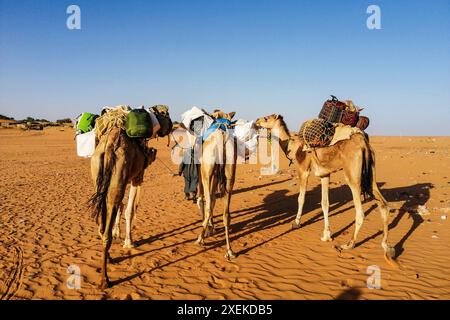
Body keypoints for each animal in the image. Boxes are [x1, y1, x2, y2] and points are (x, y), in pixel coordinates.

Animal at [89, 109, 173, 288]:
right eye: (165, 114)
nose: (172, 125)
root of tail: (109, 147)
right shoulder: (137, 177)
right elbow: (129, 210)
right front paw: (129, 242)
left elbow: (121, 208)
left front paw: (118, 234)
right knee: (109, 223)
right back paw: (105, 280)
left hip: (98, 176)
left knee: (103, 221)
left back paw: (109, 258)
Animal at [197, 110, 239, 260]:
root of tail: (222, 136)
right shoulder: (217, 176)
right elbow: (214, 198)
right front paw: (212, 226)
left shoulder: (203, 172)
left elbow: (202, 199)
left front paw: (209, 227)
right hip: (230, 172)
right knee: (226, 213)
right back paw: (230, 250)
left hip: (206, 171)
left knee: (208, 204)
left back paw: (200, 238)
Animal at [255, 114, 396, 262]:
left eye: (266, 118)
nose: (257, 121)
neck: (293, 147)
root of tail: (363, 143)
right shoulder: (324, 174)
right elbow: (325, 203)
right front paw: (326, 235)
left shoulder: (303, 169)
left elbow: (301, 198)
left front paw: (296, 223)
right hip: (371, 173)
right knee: (384, 205)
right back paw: (387, 247)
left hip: (352, 175)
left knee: (360, 212)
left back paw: (348, 244)